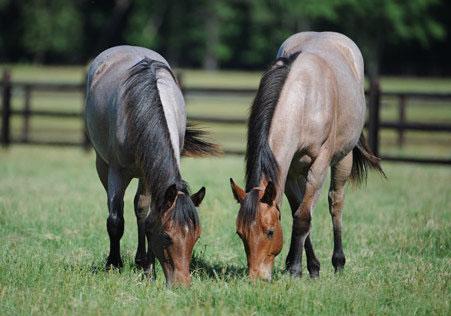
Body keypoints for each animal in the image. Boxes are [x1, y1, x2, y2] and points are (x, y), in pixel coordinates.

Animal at [86, 45, 219, 286]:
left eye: (196, 237)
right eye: (166, 236)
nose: (182, 284)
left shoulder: (150, 174)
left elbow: (147, 217)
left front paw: (149, 270)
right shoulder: (116, 171)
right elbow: (115, 219)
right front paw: (113, 265)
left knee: (140, 207)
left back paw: (141, 262)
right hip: (102, 164)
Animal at [230, 31, 384, 278]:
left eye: (270, 231)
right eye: (240, 233)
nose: (256, 277)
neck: (304, 100)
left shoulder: (319, 165)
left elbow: (303, 217)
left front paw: (294, 269)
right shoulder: (289, 171)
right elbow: (298, 211)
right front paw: (308, 267)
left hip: (343, 159)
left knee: (336, 203)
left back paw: (338, 262)